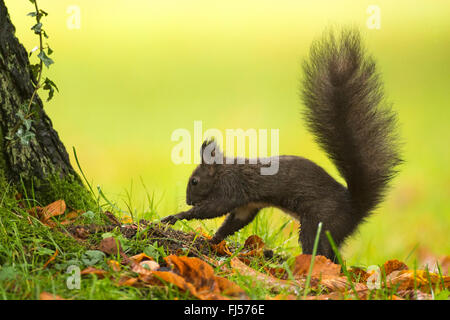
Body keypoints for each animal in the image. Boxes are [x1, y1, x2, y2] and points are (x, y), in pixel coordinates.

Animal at [161, 28, 400, 260]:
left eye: (194, 181)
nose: (188, 200)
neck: (224, 170)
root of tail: (354, 208)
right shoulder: (248, 204)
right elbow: (234, 221)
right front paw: (214, 240)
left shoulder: (231, 187)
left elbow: (214, 208)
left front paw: (178, 215)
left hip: (320, 222)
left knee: (319, 248)